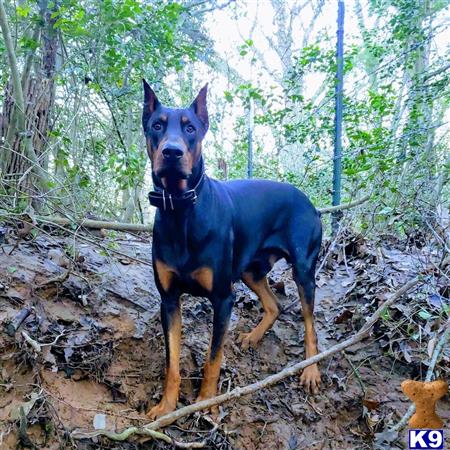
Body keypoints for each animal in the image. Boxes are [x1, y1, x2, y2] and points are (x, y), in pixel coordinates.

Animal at [142, 80, 322, 418]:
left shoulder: (224, 298)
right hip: (251, 269)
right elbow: (172, 362)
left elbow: (213, 358)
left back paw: (310, 370)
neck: (181, 212)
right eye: (157, 125)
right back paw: (253, 336)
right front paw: (167, 406)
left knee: (310, 323)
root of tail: (310, 203)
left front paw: (206, 403)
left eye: (190, 128)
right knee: (275, 305)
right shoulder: (169, 301)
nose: (171, 152)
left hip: (303, 270)